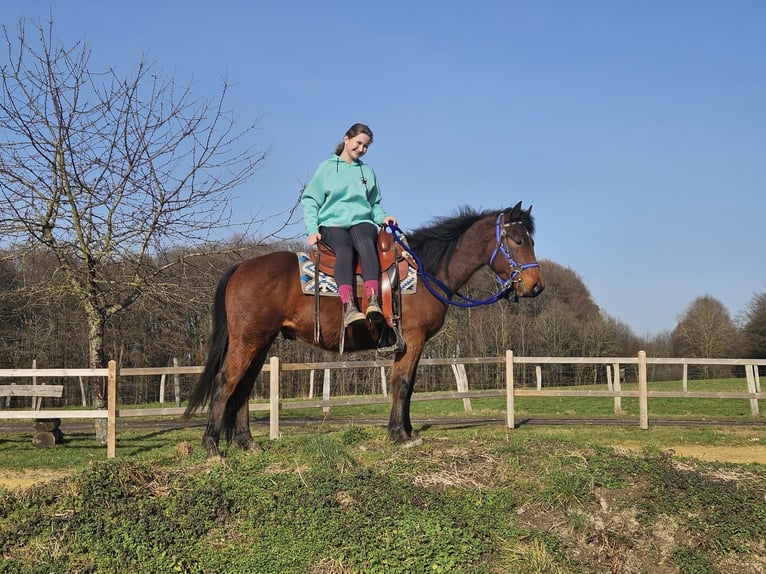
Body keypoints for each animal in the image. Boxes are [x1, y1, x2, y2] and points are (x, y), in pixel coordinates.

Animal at [184, 202, 544, 458]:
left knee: (243, 387)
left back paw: (247, 442)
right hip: (248, 340)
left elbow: (408, 386)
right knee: (226, 381)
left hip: (260, 342)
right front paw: (399, 435)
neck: (426, 271)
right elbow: (402, 383)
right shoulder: (412, 338)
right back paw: (211, 446)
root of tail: (240, 266)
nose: (536, 285)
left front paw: (407, 432)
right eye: (516, 240)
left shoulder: (411, 343)